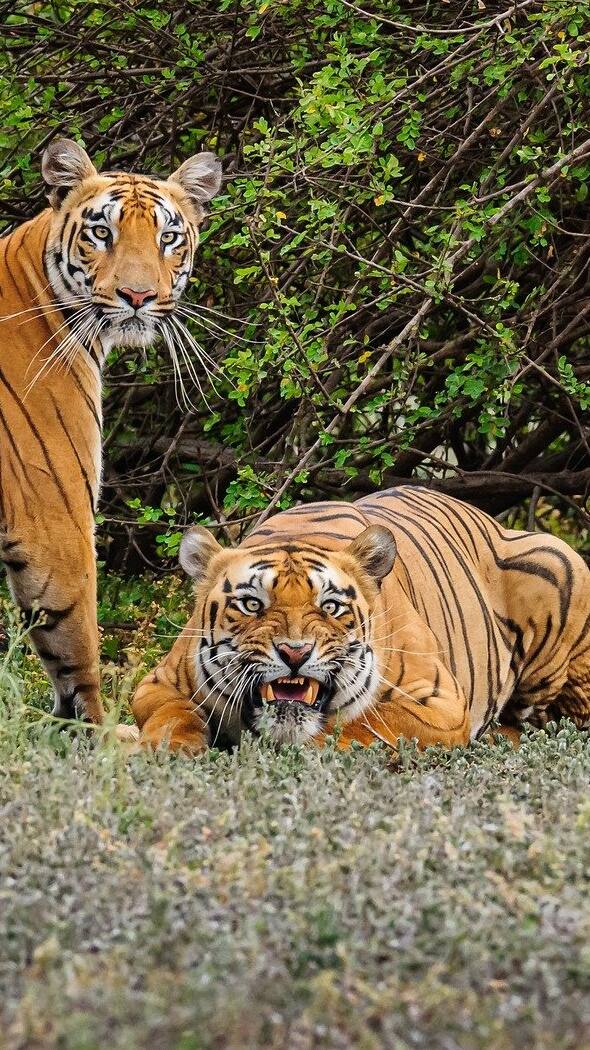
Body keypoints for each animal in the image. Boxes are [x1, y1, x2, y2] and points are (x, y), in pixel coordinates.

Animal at [0, 137, 221, 724]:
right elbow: (74, 638)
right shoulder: (54, 518)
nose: (137, 296)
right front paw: (96, 728)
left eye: (168, 237)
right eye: (102, 233)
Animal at [132, 486, 590, 753]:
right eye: (251, 605)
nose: (294, 653)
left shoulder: (439, 704)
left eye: (331, 607)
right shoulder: (157, 684)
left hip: (560, 562)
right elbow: (171, 717)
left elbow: (361, 723)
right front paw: (164, 748)